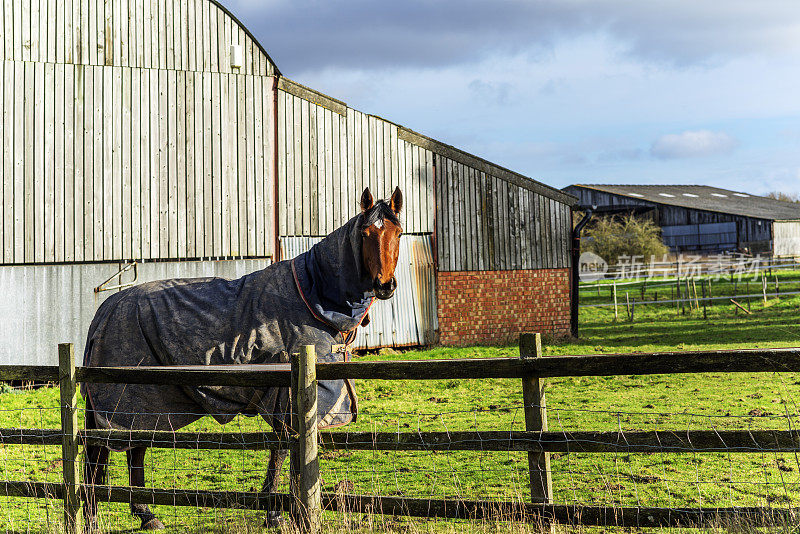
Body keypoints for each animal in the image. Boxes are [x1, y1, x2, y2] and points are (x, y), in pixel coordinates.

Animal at [81, 188, 404, 532]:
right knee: (98, 456)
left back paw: (146, 514)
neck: (312, 298)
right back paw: (98, 518)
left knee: (134, 450)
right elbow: (283, 450)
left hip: (146, 403)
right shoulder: (286, 398)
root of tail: (106, 309)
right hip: (124, 402)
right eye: (366, 233)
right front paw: (280, 513)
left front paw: (282, 510)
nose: (385, 285)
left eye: (397, 232)